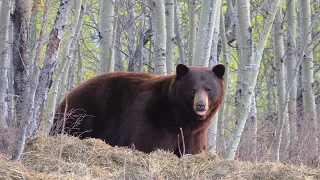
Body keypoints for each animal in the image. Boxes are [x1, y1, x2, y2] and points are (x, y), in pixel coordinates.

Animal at [50, 64, 225, 156]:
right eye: (192, 89)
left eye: (209, 89)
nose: (201, 105)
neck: (180, 116)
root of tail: (67, 96)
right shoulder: (153, 117)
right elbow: (149, 143)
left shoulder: (195, 133)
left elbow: (192, 149)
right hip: (82, 115)